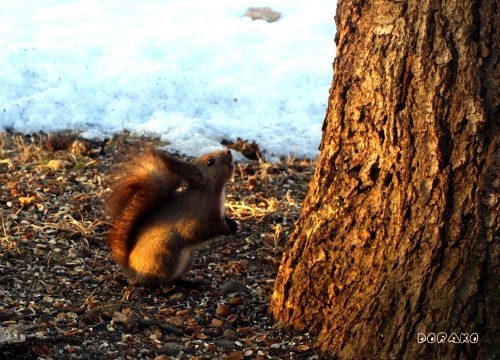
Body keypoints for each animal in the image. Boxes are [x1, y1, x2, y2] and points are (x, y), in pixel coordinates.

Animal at [104, 148, 237, 286]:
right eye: (210, 162)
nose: (228, 151)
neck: (209, 192)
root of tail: (133, 271)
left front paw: (233, 225)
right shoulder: (198, 219)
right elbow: (206, 230)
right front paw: (226, 229)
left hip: (188, 259)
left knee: (175, 280)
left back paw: (190, 283)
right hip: (164, 259)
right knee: (159, 282)